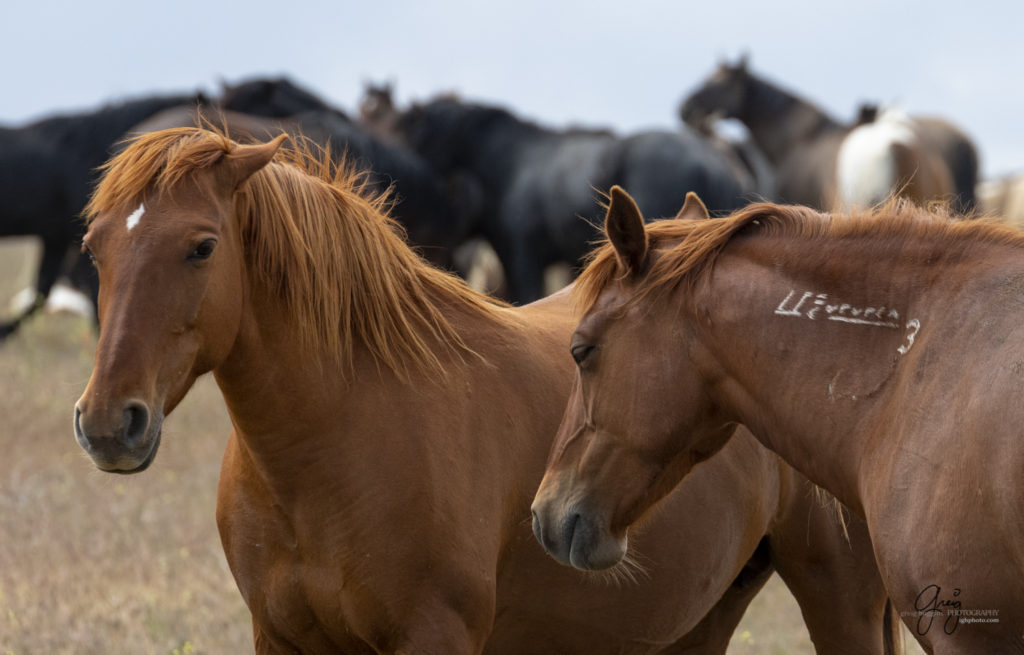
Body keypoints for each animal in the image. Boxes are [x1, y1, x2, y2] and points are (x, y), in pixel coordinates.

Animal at [72, 127, 888, 655]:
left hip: (841, 601)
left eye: (201, 246)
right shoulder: (279, 638)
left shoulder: (435, 635)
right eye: (94, 245)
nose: (110, 422)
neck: (338, 440)